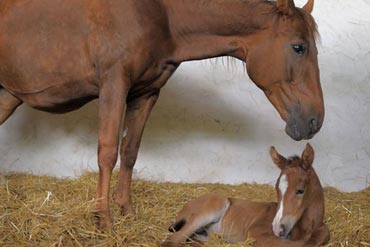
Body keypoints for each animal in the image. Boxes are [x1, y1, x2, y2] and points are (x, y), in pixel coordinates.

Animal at [164, 144, 330, 246]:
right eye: (276, 188)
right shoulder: (258, 234)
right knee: (173, 239)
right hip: (215, 205)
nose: (277, 228)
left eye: (300, 190)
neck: (307, 229)